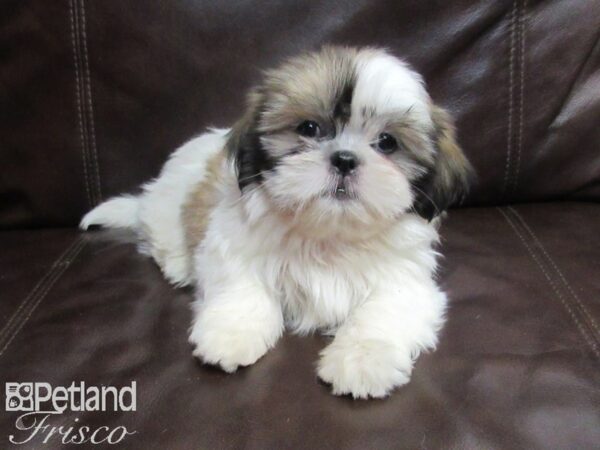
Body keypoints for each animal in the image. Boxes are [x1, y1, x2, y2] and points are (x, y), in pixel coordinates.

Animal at [81, 44, 474, 398]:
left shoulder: (406, 282)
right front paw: (231, 334)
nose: (345, 159)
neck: (327, 233)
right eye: (309, 128)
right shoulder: (231, 244)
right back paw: (179, 263)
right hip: (168, 206)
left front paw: (362, 362)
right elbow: (243, 285)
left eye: (387, 142)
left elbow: (383, 312)